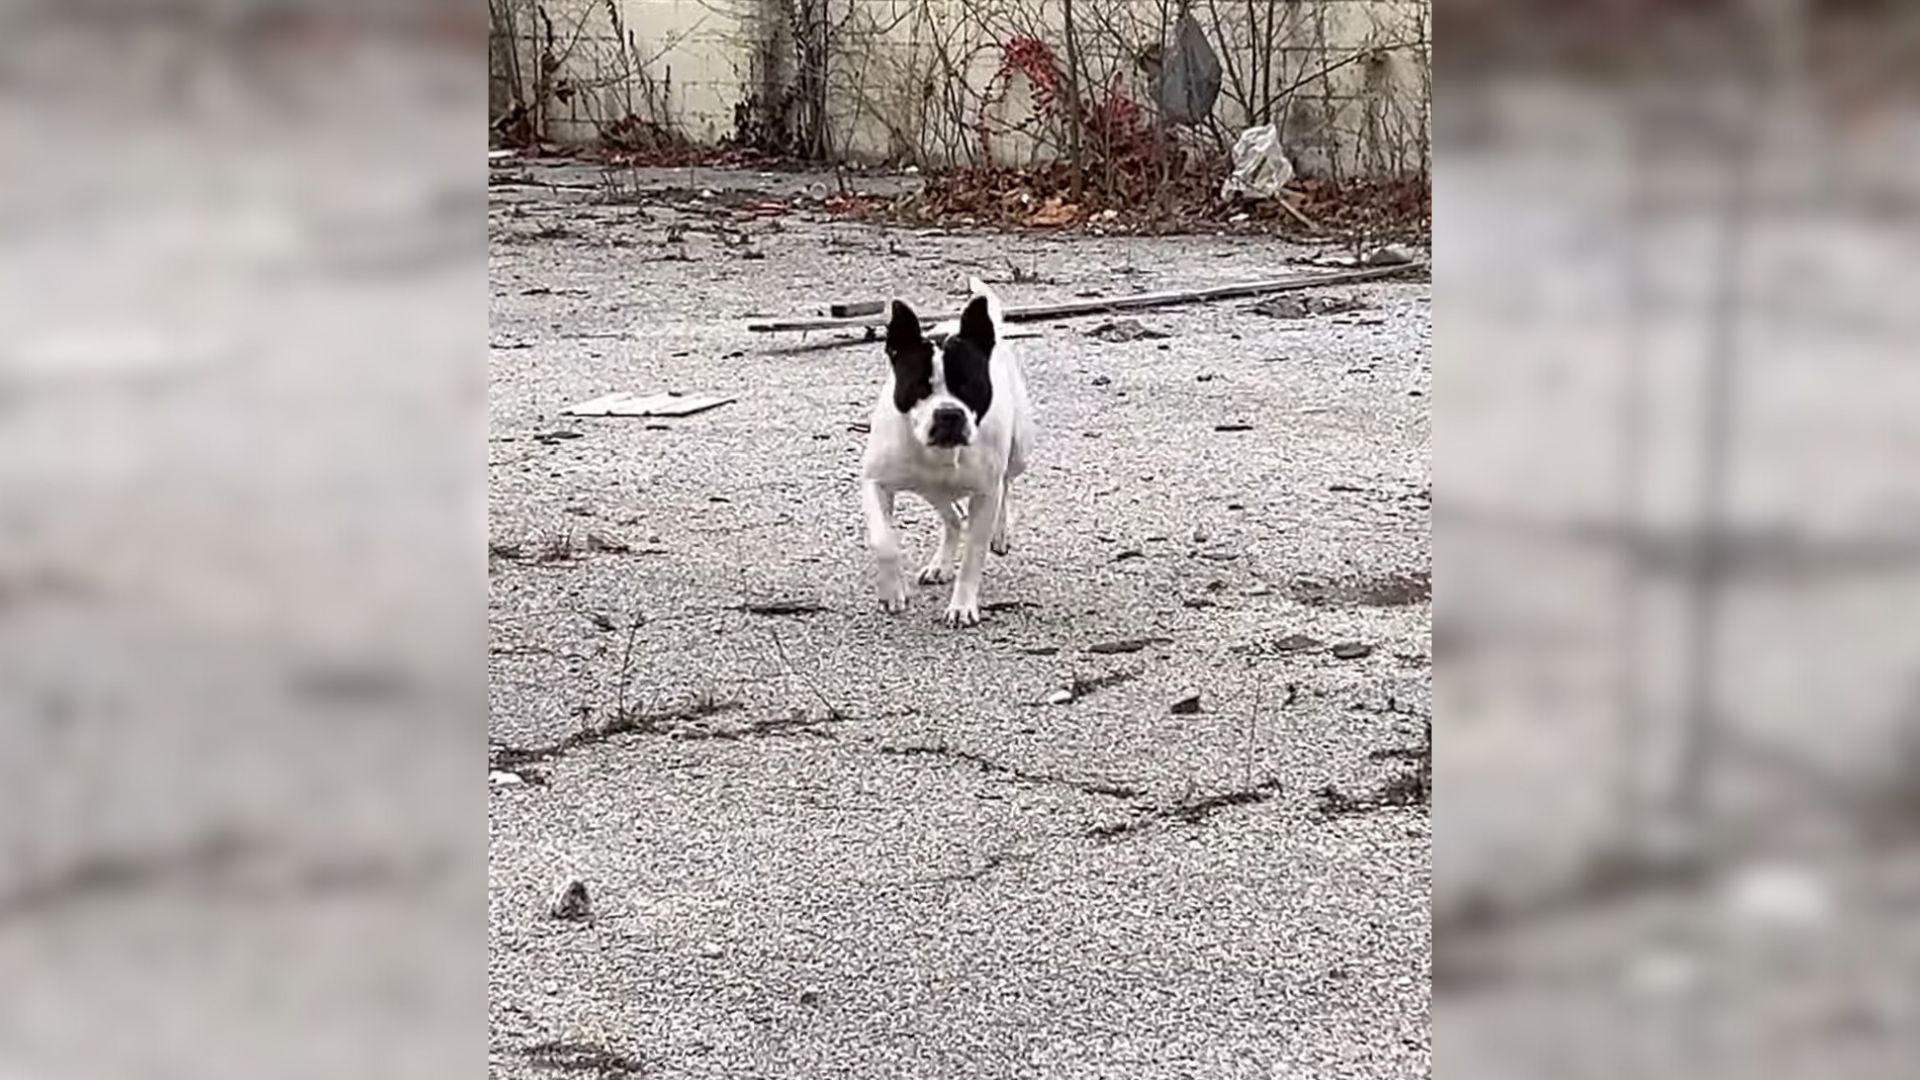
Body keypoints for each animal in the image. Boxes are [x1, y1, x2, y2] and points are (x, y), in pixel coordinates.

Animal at [860, 276, 1029, 626]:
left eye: (969, 386)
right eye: (919, 387)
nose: (949, 413)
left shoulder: (985, 493)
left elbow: (974, 554)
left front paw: (962, 606)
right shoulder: (874, 483)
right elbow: (883, 541)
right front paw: (892, 592)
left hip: (1019, 451)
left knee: (1006, 484)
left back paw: (1000, 533)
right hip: (932, 491)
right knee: (953, 518)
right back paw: (940, 564)